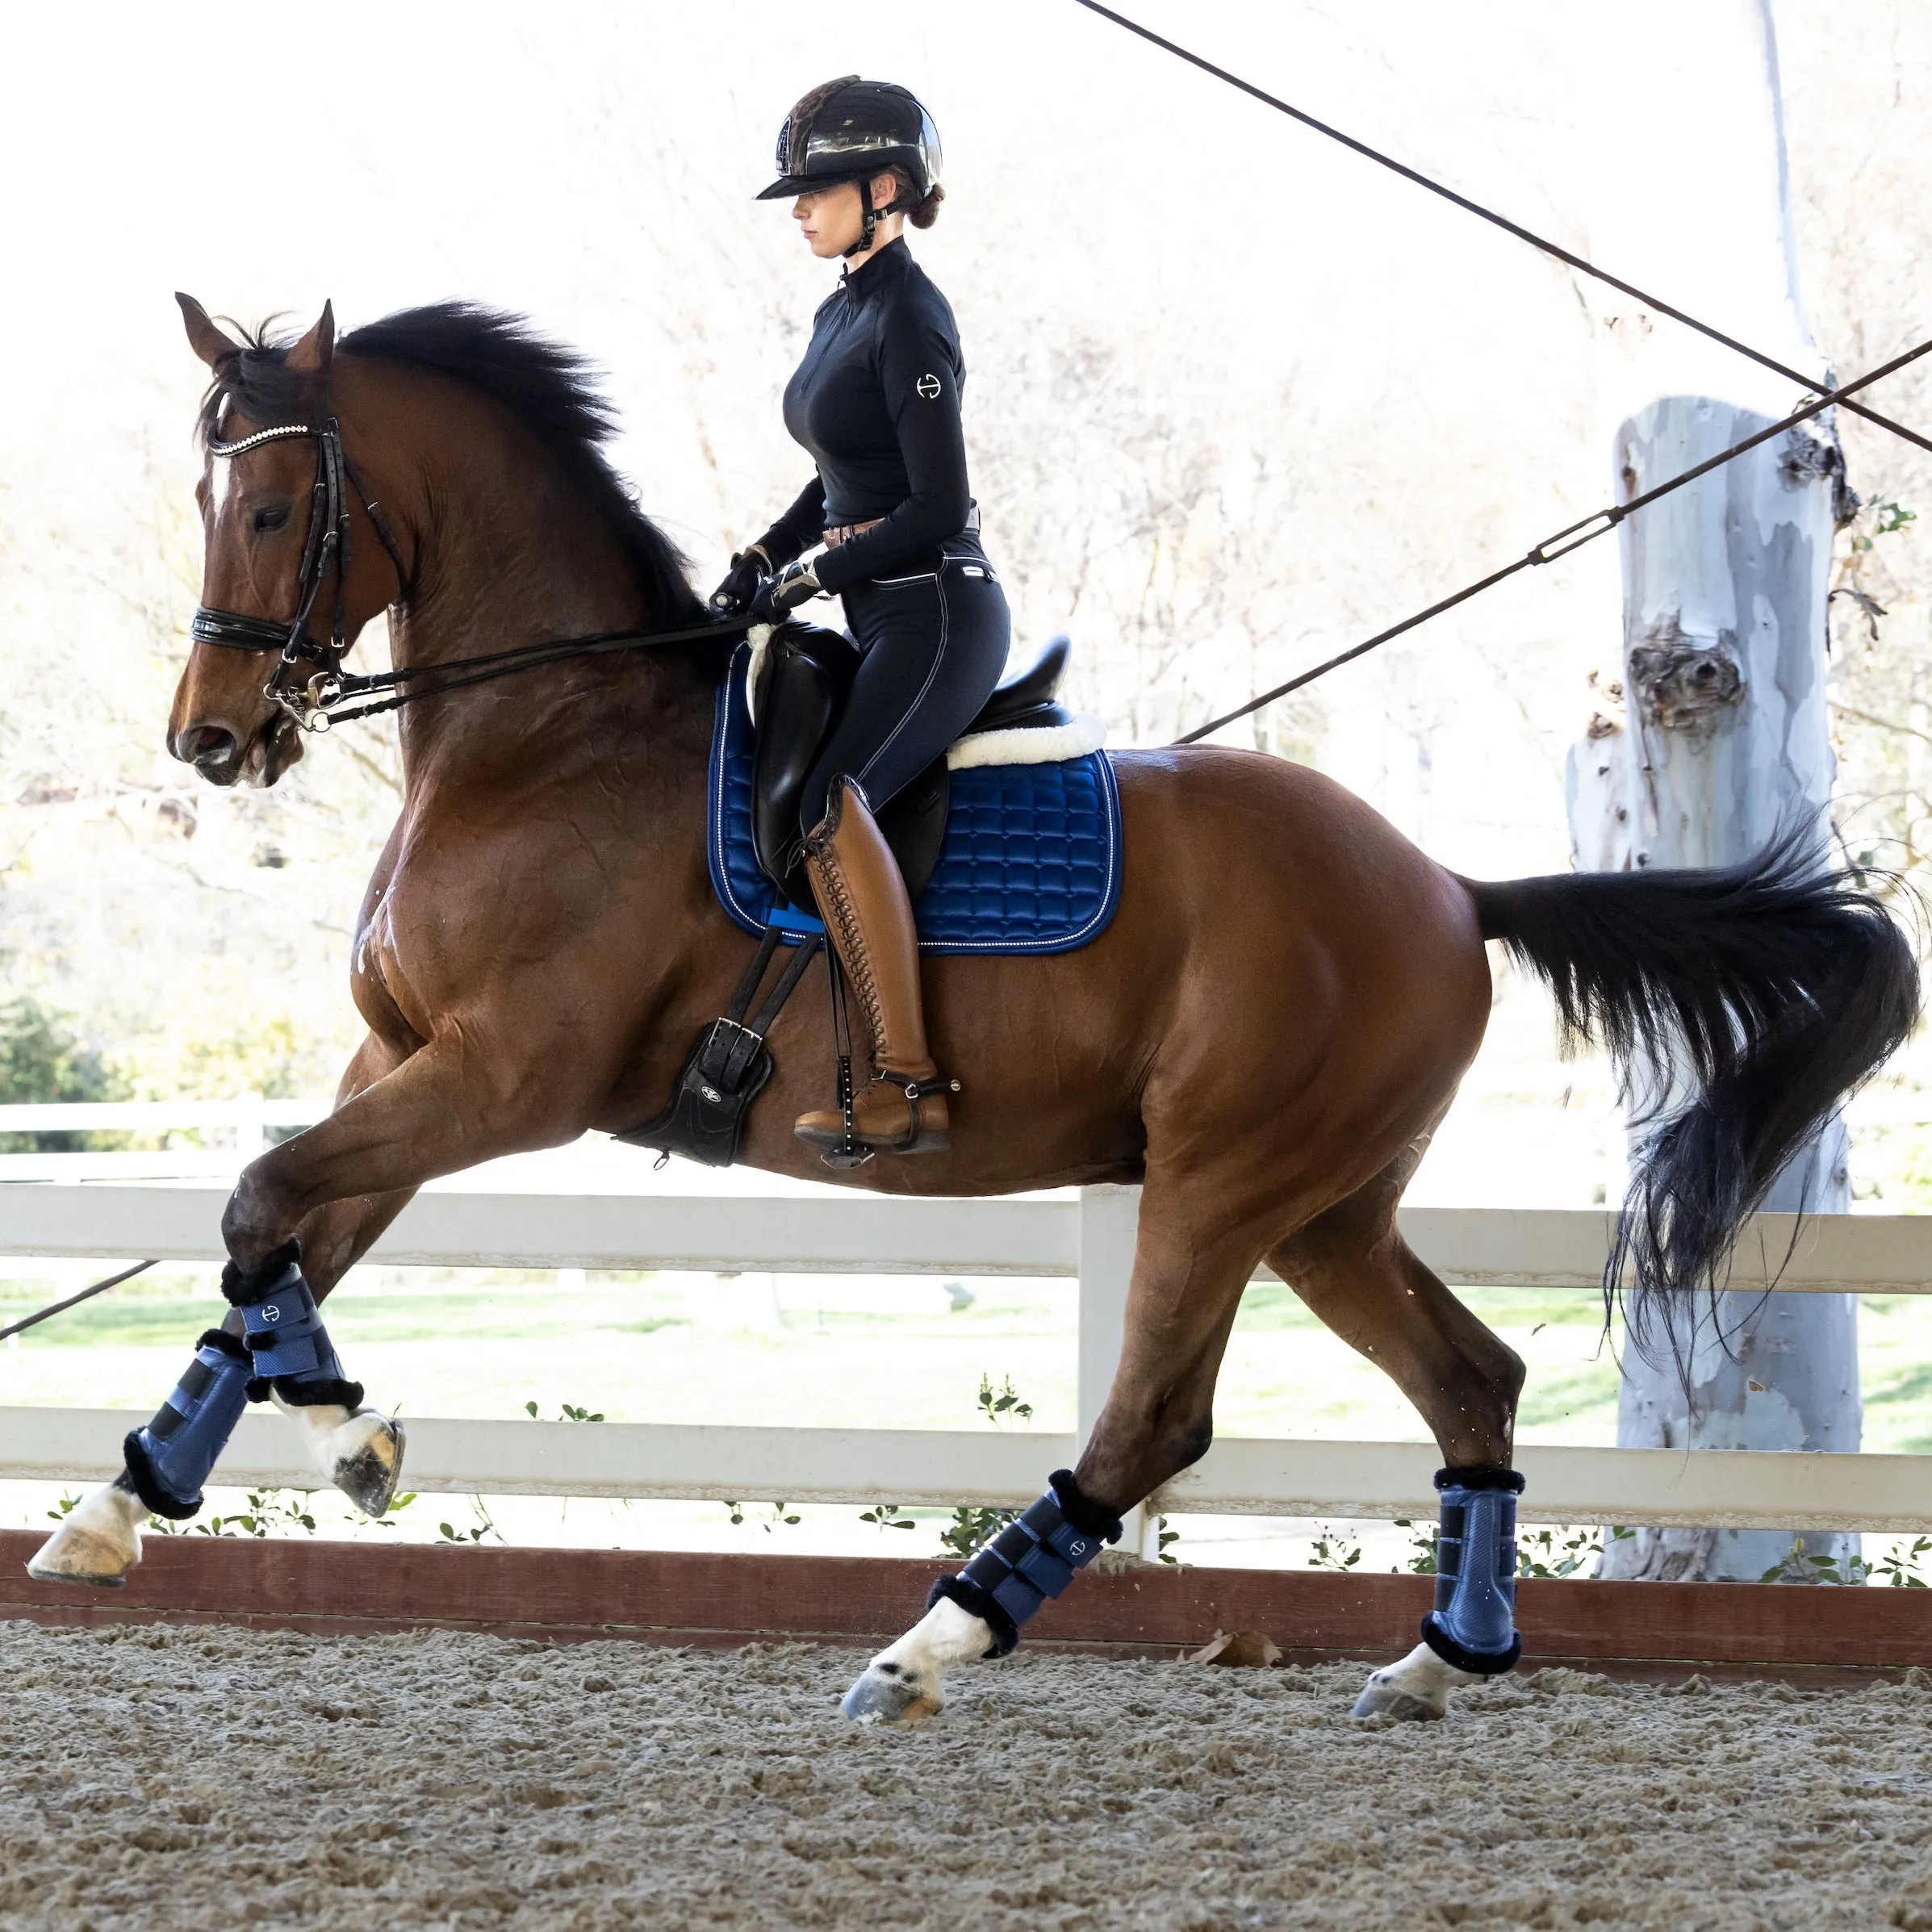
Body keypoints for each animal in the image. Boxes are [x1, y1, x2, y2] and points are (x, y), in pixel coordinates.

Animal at [37, 297, 1909, 1723]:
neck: (543, 736)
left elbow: (261, 1198)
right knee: (1472, 1382)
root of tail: (1450, 888)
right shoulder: (405, 1057)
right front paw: (129, 1504)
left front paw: (353, 1439)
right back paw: (1440, 1660)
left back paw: (931, 1641)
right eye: (205, 496)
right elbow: (273, 1240)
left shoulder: (513, 1073)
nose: (212, 738)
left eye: (270, 507)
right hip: (1323, 1207)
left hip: (1220, 1178)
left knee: (1156, 1418)